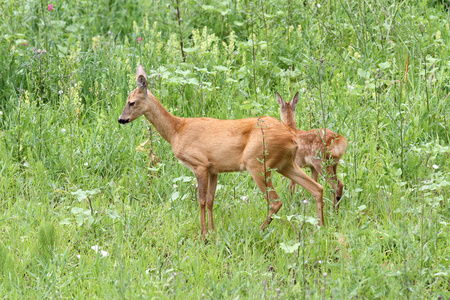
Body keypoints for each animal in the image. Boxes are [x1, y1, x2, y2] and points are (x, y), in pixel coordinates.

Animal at [118, 65, 326, 237]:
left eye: (131, 102)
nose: (121, 119)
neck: (177, 130)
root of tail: (292, 136)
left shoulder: (200, 164)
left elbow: (201, 200)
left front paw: (203, 235)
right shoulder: (214, 169)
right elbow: (211, 200)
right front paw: (212, 232)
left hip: (257, 162)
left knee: (276, 201)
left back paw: (258, 230)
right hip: (286, 164)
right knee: (317, 188)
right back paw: (321, 227)